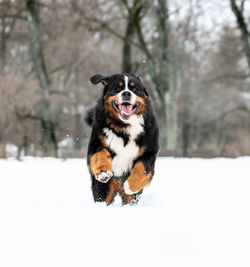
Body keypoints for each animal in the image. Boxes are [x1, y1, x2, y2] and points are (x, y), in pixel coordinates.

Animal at [85, 74, 159, 206]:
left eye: (134, 89)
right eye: (117, 89)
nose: (126, 93)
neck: (124, 127)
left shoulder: (150, 150)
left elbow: (144, 168)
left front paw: (131, 185)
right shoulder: (96, 142)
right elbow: (100, 154)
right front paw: (103, 172)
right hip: (105, 188)